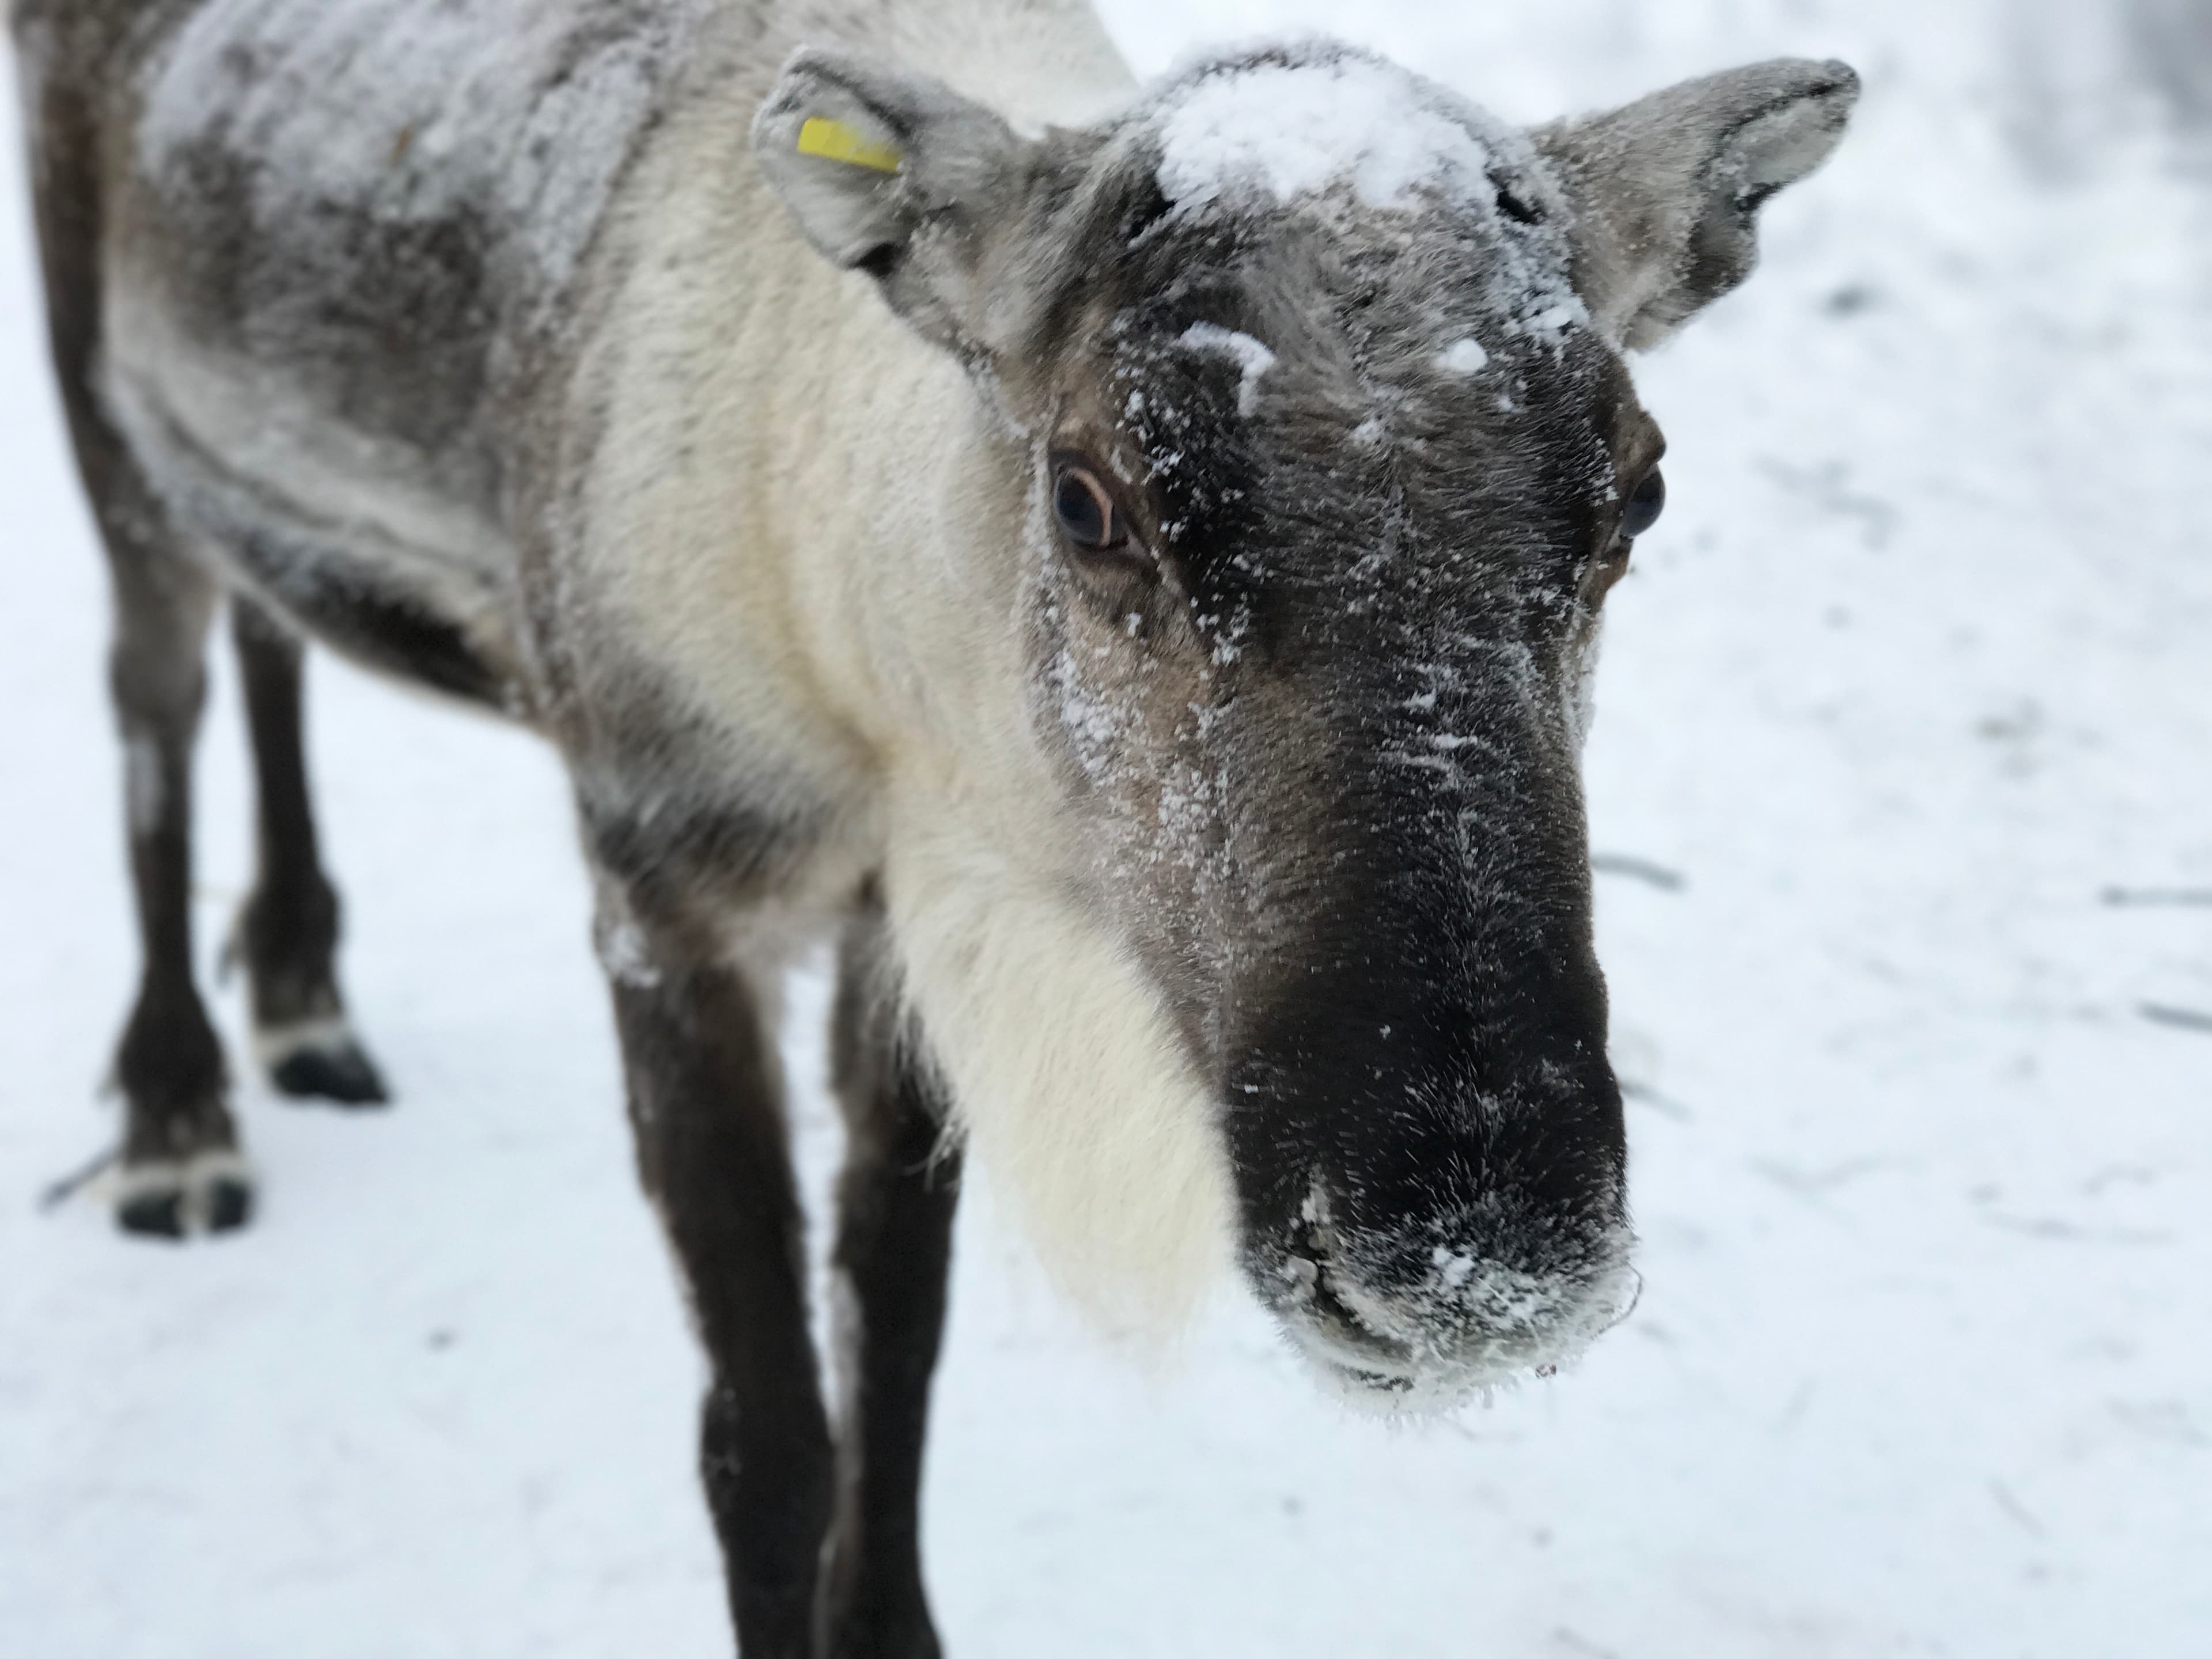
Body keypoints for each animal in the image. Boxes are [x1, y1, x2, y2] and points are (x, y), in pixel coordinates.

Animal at [11, 0, 1856, 1651]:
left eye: (1639, 492)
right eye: (1090, 502)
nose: (1477, 1249)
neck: (871, 666)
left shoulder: (902, 926)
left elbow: (895, 1350)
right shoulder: (666, 888)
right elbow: (766, 1443)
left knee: (265, 635)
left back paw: (302, 990)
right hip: (102, 401)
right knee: (156, 704)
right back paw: (178, 1119)